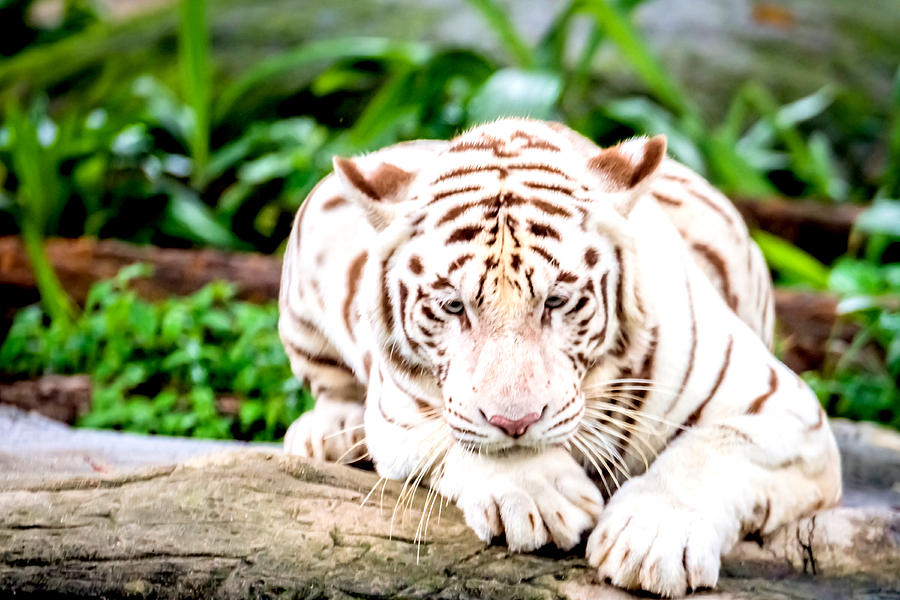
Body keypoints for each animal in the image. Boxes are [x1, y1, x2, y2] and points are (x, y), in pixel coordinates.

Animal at [278, 117, 840, 596]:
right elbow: (462, 433)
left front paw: (652, 540)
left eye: (556, 300)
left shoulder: (783, 407)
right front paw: (540, 494)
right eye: (454, 306)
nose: (515, 422)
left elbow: (713, 450)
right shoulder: (396, 408)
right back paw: (328, 435)